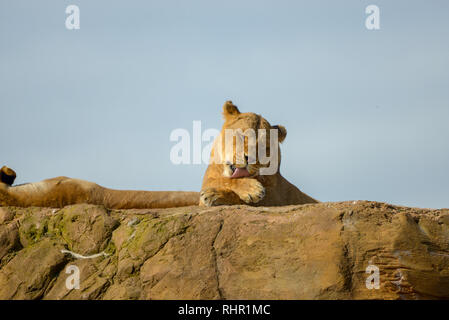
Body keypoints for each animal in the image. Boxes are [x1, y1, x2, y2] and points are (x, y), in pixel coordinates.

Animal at [0, 101, 316, 209]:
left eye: (264, 147)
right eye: (241, 137)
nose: (250, 160)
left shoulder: (278, 197)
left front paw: (230, 193)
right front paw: (233, 191)